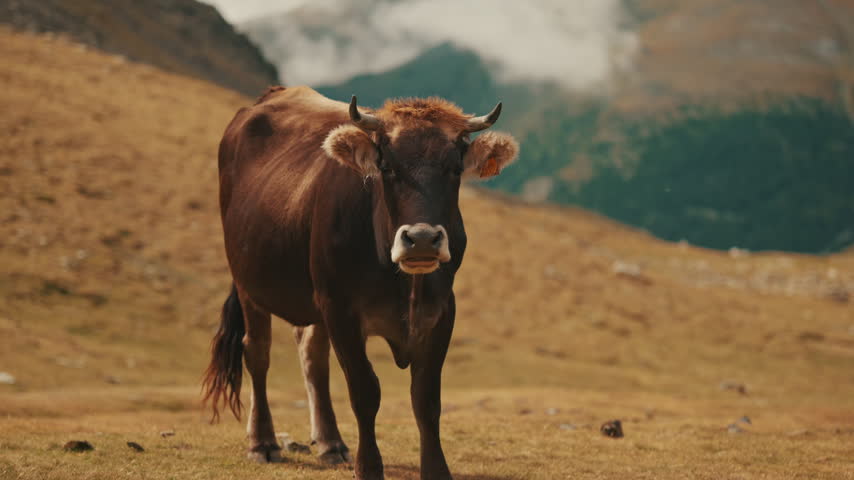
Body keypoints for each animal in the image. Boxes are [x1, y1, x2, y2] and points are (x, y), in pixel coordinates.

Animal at [202, 86, 518, 480]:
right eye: (387, 167)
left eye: (454, 169)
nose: (422, 239)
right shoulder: (340, 310)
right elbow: (365, 391)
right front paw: (369, 467)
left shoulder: (442, 312)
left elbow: (426, 398)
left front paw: (435, 469)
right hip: (250, 285)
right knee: (257, 353)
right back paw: (263, 442)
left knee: (313, 359)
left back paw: (331, 444)